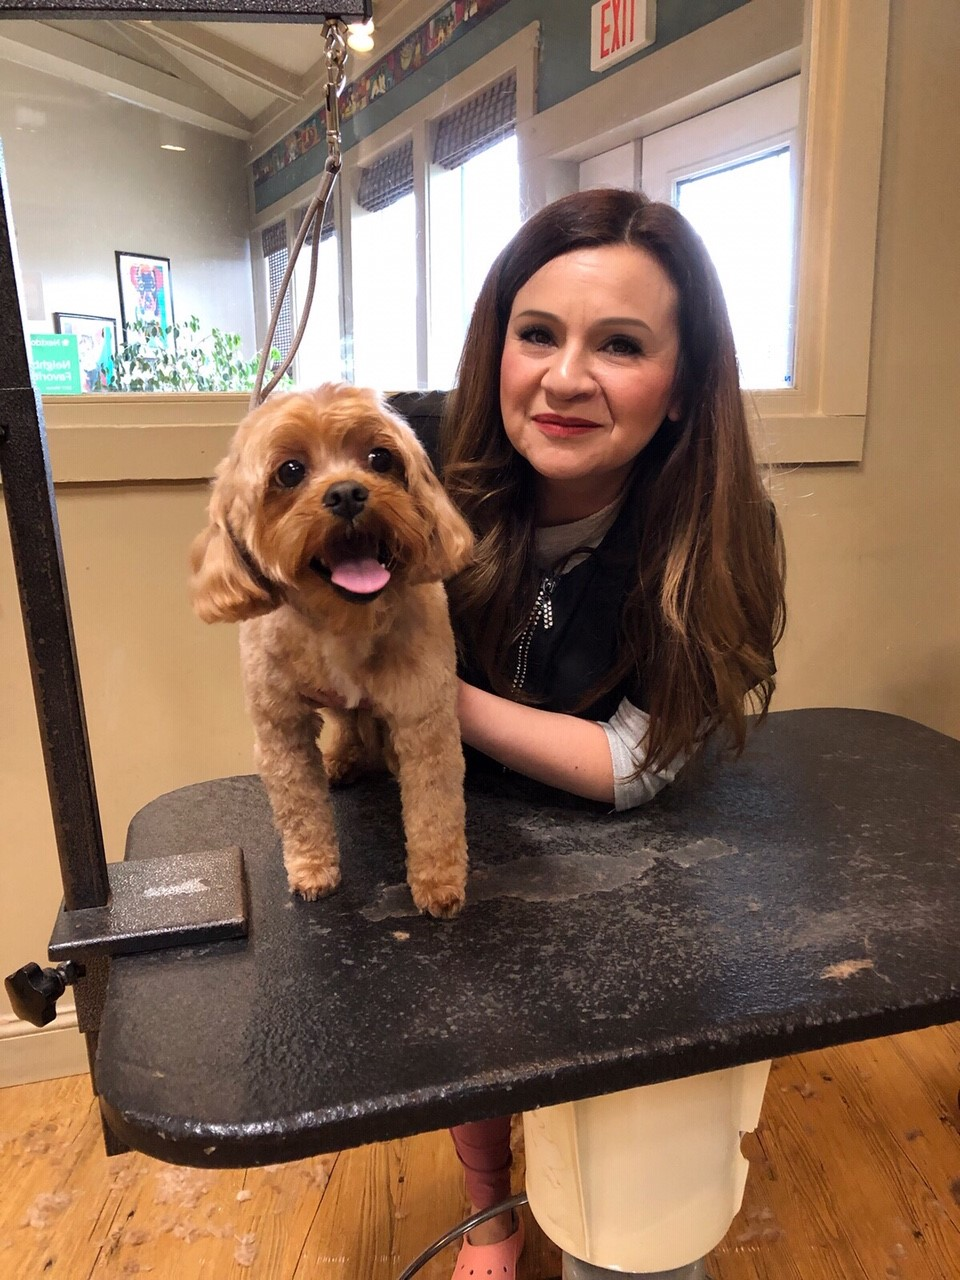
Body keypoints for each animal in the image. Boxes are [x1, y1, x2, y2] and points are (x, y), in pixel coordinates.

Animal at [189, 384, 476, 916]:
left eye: (380, 458)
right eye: (290, 470)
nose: (347, 492)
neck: (344, 623)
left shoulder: (425, 715)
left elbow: (435, 807)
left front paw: (439, 881)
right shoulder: (281, 727)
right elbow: (301, 809)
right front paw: (312, 868)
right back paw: (343, 758)